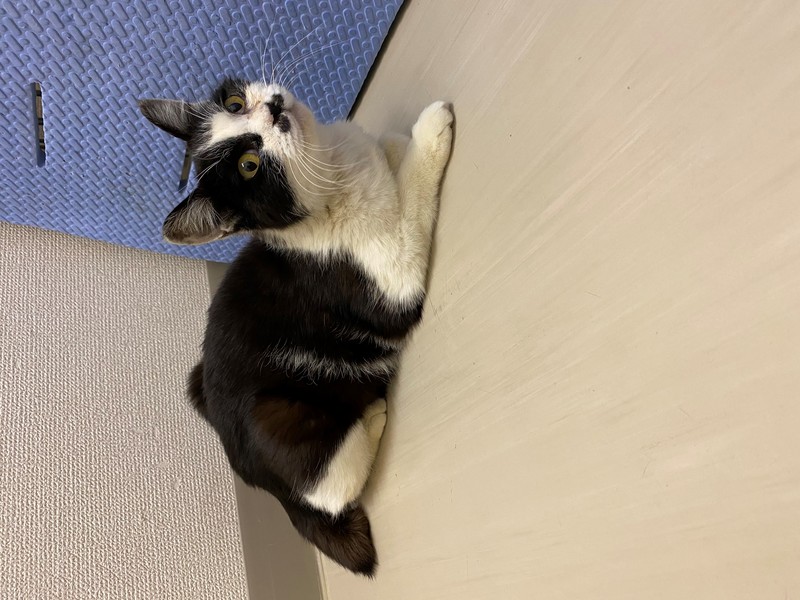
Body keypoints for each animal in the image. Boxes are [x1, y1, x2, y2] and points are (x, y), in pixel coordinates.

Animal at [139, 78, 453, 576]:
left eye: (234, 102)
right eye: (249, 166)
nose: (272, 108)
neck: (329, 175)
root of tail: (267, 489)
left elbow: (383, 152)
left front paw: (392, 146)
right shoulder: (390, 281)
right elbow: (410, 206)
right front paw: (427, 133)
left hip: (195, 381)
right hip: (286, 425)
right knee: (334, 489)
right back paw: (372, 416)